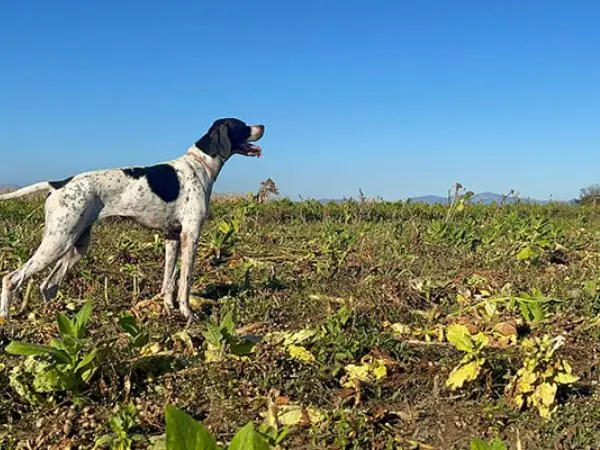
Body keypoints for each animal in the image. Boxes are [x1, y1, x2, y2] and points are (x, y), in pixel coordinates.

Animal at [0, 116, 264, 320]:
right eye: (242, 125)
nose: (262, 126)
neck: (200, 164)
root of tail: (58, 184)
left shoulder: (172, 237)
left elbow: (169, 280)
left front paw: (168, 309)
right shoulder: (191, 236)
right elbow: (185, 281)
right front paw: (187, 313)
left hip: (76, 246)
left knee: (48, 285)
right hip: (58, 242)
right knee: (12, 278)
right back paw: (7, 318)